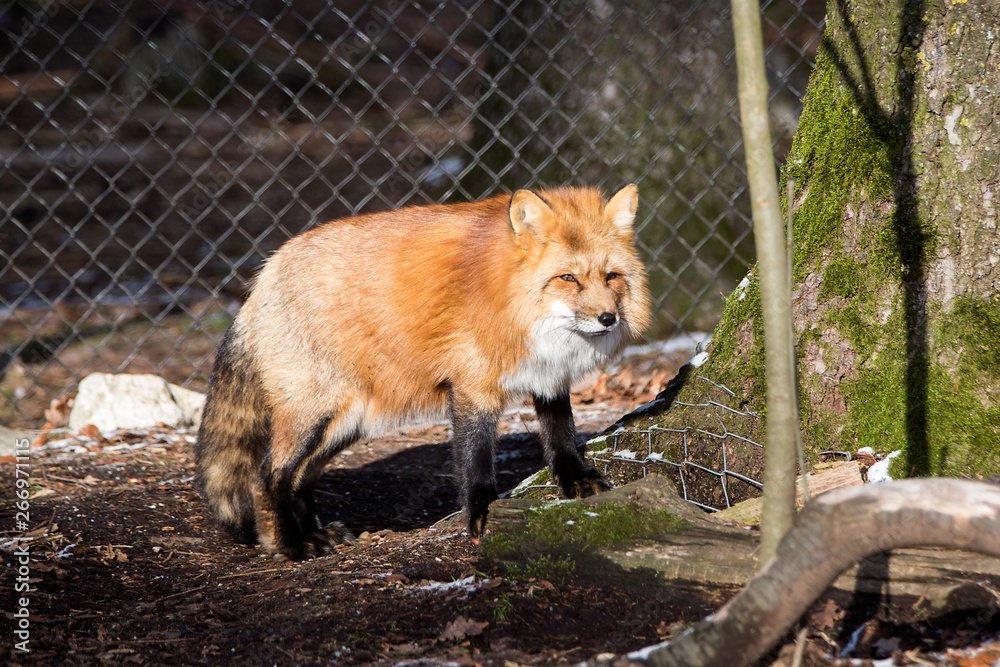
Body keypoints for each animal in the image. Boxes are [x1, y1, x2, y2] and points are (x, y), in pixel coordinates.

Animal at [195, 184, 651, 560]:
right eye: (568, 278)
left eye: (612, 276)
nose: (608, 318)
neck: (512, 304)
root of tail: (265, 272)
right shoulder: (472, 385)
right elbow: (475, 459)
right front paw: (481, 514)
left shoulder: (548, 374)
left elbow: (560, 433)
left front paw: (575, 479)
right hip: (315, 415)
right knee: (268, 476)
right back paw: (289, 546)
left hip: (348, 421)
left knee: (302, 479)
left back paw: (313, 533)